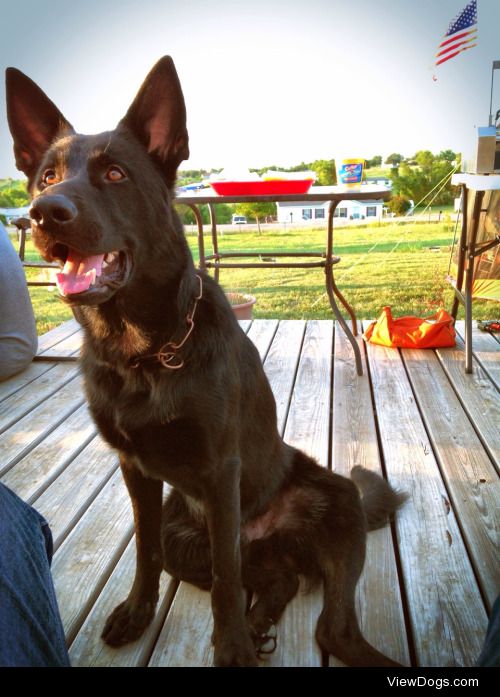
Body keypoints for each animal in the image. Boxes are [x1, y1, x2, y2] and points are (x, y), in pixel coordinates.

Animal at [5, 57, 406, 668]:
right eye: (47, 178)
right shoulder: (136, 473)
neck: (144, 355)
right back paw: (262, 619)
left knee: (328, 626)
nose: (42, 214)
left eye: (116, 174)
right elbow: (147, 553)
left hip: (339, 506)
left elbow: (224, 578)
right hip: (185, 538)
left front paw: (232, 647)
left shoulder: (220, 475)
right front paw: (139, 612)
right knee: (279, 578)